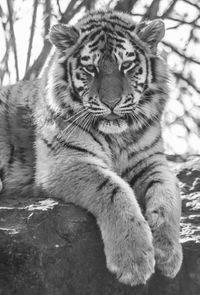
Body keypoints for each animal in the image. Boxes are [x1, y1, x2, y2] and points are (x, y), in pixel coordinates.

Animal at [0, 9, 182, 286]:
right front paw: (134, 260)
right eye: (90, 68)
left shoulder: (152, 161)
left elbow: (167, 196)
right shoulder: (67, 159)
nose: (111, 102)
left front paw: (169, 255)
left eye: (126, 66)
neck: (117, 137)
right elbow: (114, 190)